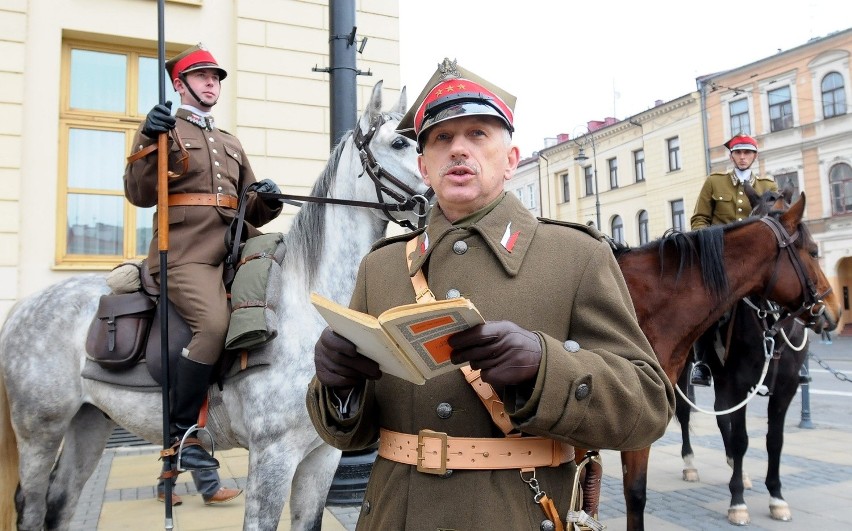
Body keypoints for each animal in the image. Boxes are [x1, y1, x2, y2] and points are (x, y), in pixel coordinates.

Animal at [0, 80, 426, 531]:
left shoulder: (322, 456)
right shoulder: (273, 456)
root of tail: (22, 308)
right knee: (32, 507)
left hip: (90, 422)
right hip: (40, 431)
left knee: (61, 503)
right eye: (400, 142)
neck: (305, 306)